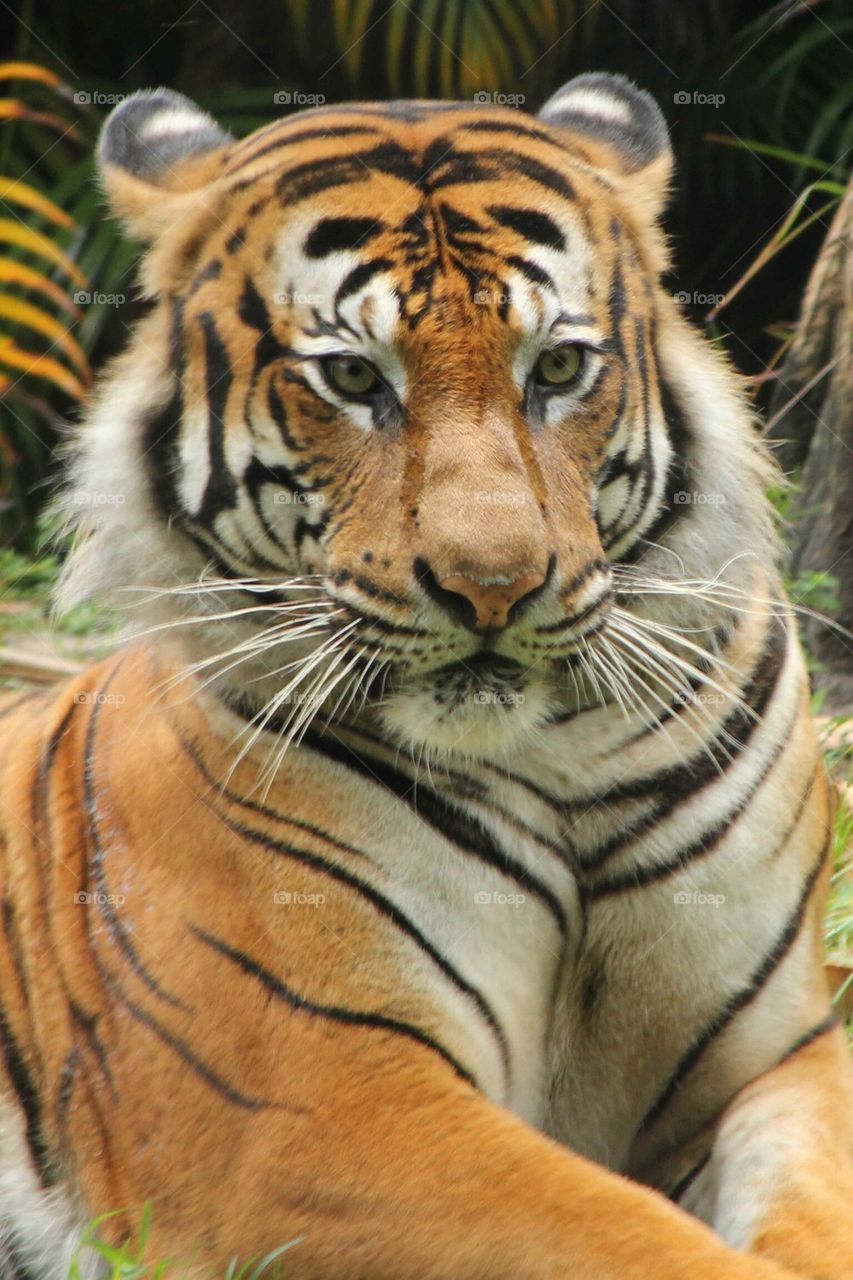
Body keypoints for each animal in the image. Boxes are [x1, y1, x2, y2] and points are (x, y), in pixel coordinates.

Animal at [0, 70, 851, 1280]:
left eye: (556, 367)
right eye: (354, 377)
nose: (492, 586)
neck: (560, 751)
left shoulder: (780, 1049)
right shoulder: (313, 1102)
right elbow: (637, 1240)